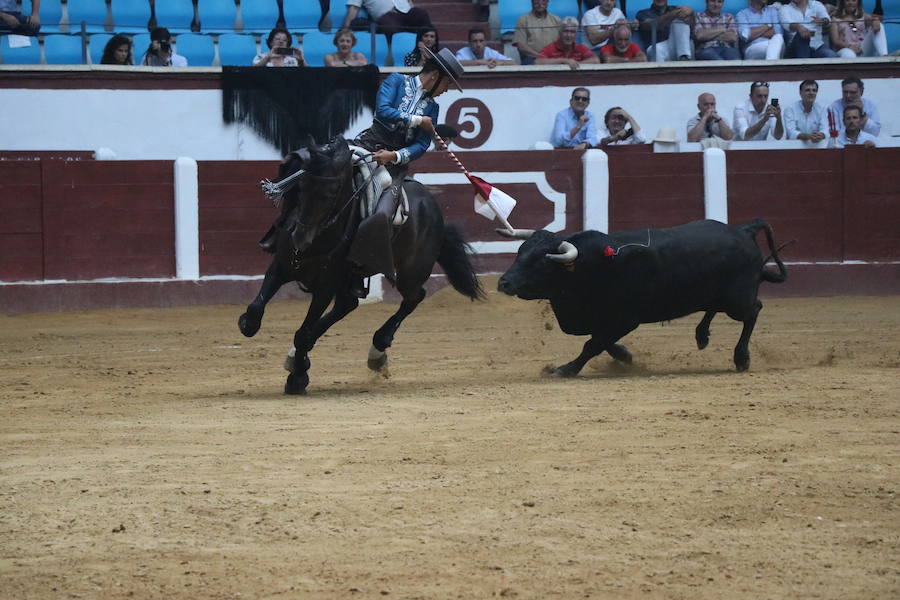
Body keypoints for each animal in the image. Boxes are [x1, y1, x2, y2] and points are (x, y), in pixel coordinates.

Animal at [239, 138, 486, 396]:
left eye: (332, 193)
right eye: (301, 186)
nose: (300, 238)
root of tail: (434, 209)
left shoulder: (325, 287)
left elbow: (303, 333)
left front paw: (297, 379)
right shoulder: (282, 266)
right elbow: (256, 308)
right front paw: (250, 325)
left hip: (410, 273)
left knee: (414, 297)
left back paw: (378, 349)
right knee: (348, 304)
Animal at [500, 218, 788, 372]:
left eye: (542, 262)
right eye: (520, 252)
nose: (504, 282)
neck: (587, 265)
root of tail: (744, 230)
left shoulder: (626, 320)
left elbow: (593, 344)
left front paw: (566, 370)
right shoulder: (600, 319)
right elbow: (600, 340)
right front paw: (625, 356)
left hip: (737, 300)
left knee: (754, 310)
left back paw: (741, 358)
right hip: (717, 295)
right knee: (714, 308)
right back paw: (701, 336)